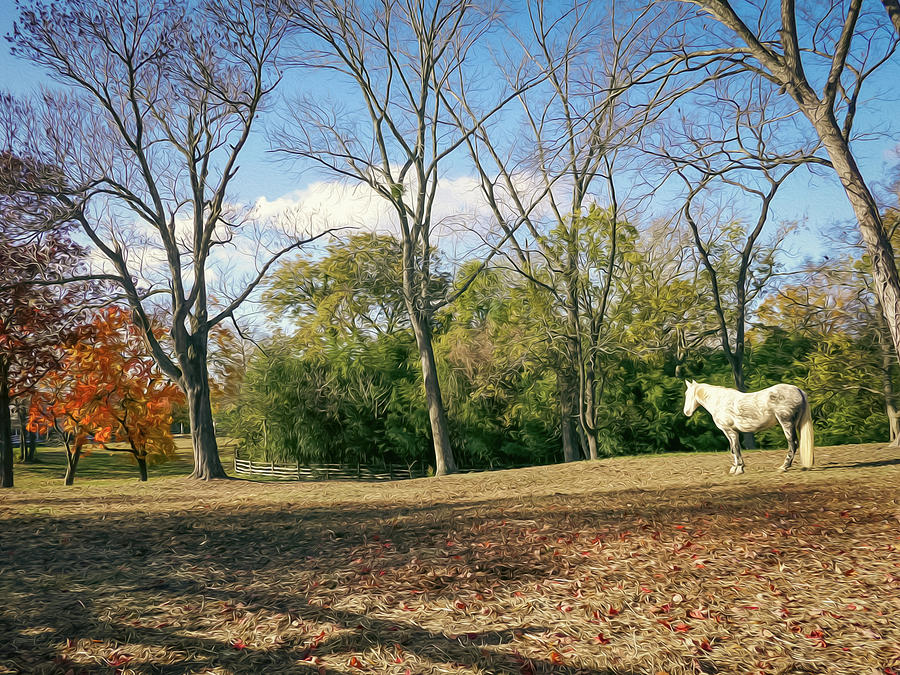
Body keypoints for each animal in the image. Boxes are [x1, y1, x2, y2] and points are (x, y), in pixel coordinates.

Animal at [684, 380, 816, 476]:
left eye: (687, 394)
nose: (686, 412)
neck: (720, 401)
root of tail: (798, 390)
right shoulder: (731, 432)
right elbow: (733, 449)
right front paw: (735, 468)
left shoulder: (730, 431)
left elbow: (736, 449)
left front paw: (739, 469)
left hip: (787, 423)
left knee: (793, 444)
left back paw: (783, 467)